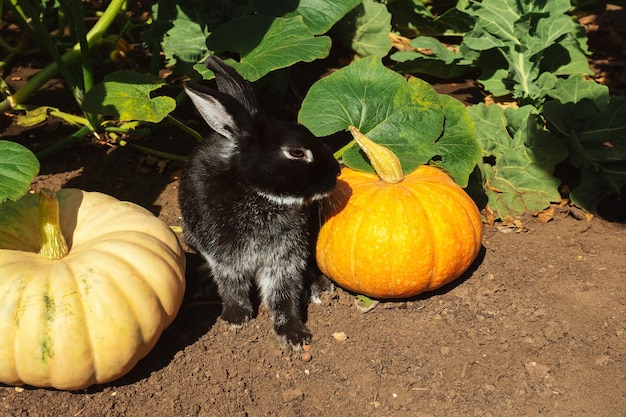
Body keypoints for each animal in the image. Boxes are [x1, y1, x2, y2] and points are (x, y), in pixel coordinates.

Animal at [178, 57, 338, 346]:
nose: (336, 174)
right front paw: (236, 316)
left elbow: (283, 295)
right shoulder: (227, 258)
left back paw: (319, 285)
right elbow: (232, 286)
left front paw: (294, 333)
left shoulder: (284, 260)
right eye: (296, 152)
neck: (257, 193)